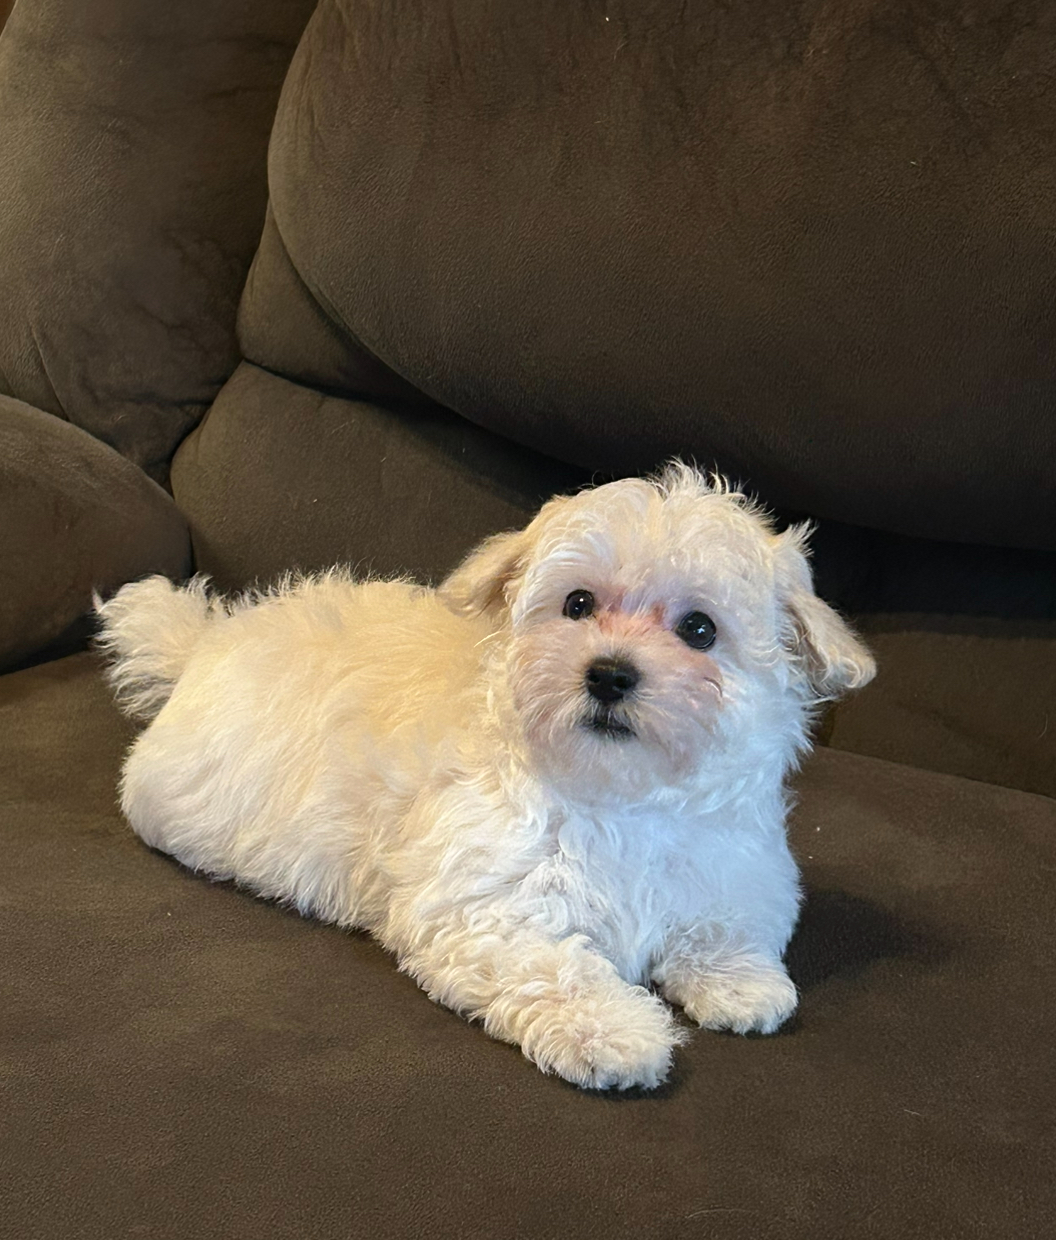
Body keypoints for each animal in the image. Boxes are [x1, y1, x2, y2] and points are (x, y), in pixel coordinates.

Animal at [96, 463, 872, 1086]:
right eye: (578, 604)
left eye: (701, 630)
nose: (609, 674)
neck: (619, 799)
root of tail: (205, 643)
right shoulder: (485, 902)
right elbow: (553, 967)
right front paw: (615, 1033)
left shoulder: (729, 863)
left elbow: (724, 924)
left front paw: (741, 981)